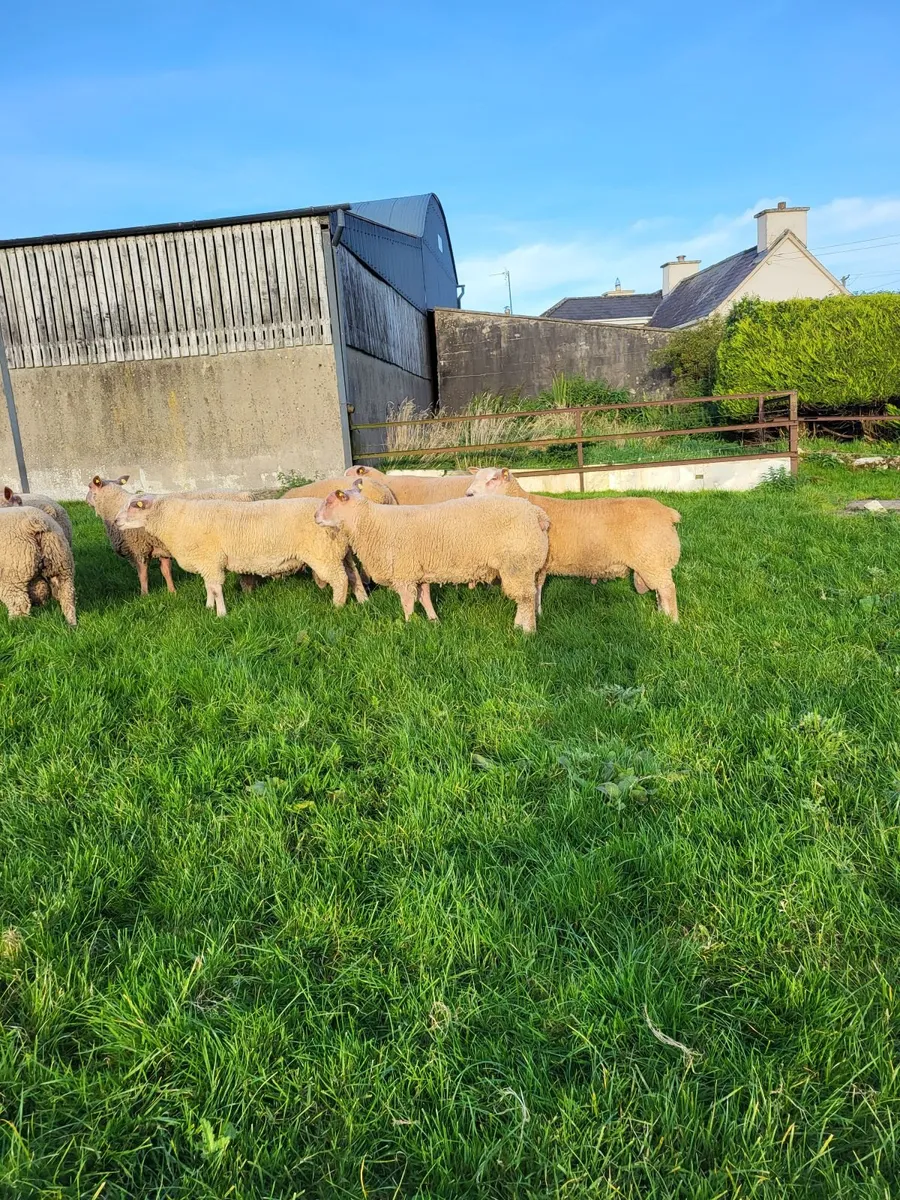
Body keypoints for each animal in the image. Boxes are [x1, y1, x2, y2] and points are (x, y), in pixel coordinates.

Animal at [86, 475, 254, 595]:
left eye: (89, 487)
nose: (86, 500)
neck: (114, 506)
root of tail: (246, 495)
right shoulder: (161, 548)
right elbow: (166, 571)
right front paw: (172, 591)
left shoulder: (138, 548)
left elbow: (142, 575)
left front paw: (144, 595)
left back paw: (247, 590)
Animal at [115, 496, 368, 616]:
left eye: (134, 506)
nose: (116, 521)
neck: (174, 521)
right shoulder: (207, 562)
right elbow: (208, 586)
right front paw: (208, 607)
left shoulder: (210, 560)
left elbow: (216, 588)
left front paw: (221, 614)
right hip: (340, 553)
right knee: (353, 576)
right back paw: (363, 600)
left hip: (323, 554)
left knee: (340, 580)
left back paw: (337, 607)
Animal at [314, 483, 550, 632]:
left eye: (329, 502)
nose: (315, 517)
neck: (370, 523)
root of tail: (538, 515)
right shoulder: (419, 573)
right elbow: (425, 597)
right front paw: (433, 621)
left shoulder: (404, 573)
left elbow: (407, 602)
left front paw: (409, 624)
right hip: (528, 566)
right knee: (526, 597)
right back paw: (520, 625)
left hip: (518, 564)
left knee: (526, 599)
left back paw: (527, 631)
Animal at [464, 467, 681, 620]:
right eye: (475, 479)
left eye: (493, 479)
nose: (468, 495)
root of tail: (668, 512)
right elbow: (538, 588)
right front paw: (539, 612)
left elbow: (535, 589)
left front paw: (535, 613)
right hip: (654, 562)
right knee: (661, 591)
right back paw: (662, 615)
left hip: (653, 558)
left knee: (668, 590)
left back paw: (672, 622)